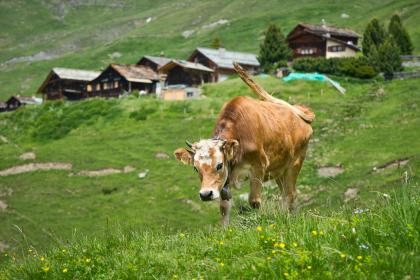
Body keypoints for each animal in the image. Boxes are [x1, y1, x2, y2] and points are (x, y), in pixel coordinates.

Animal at [172, 63, 314, 225]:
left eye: (219, 165)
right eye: (196, 168)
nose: (206, 194)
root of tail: (297, 111)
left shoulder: (259, 167)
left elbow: (254, 201)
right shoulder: (226, 179)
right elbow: (224, 207)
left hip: (295, 163)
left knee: (289, 194)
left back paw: (285, 217)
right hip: (280, 169)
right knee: (289, 193)